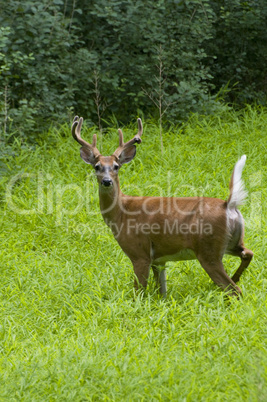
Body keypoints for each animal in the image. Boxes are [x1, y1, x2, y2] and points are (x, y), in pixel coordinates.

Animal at [71, 114, 253, 296]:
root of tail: (228, 205)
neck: (121, 214)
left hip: (208, 251)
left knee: (235, 290)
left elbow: (139, 292)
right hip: (231, 243)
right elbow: (162, 292)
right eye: (97, 167)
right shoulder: (159, 260)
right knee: (248, 253)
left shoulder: (139, 253)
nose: (107, 181)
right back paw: (236, 276)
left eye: (116, 166)